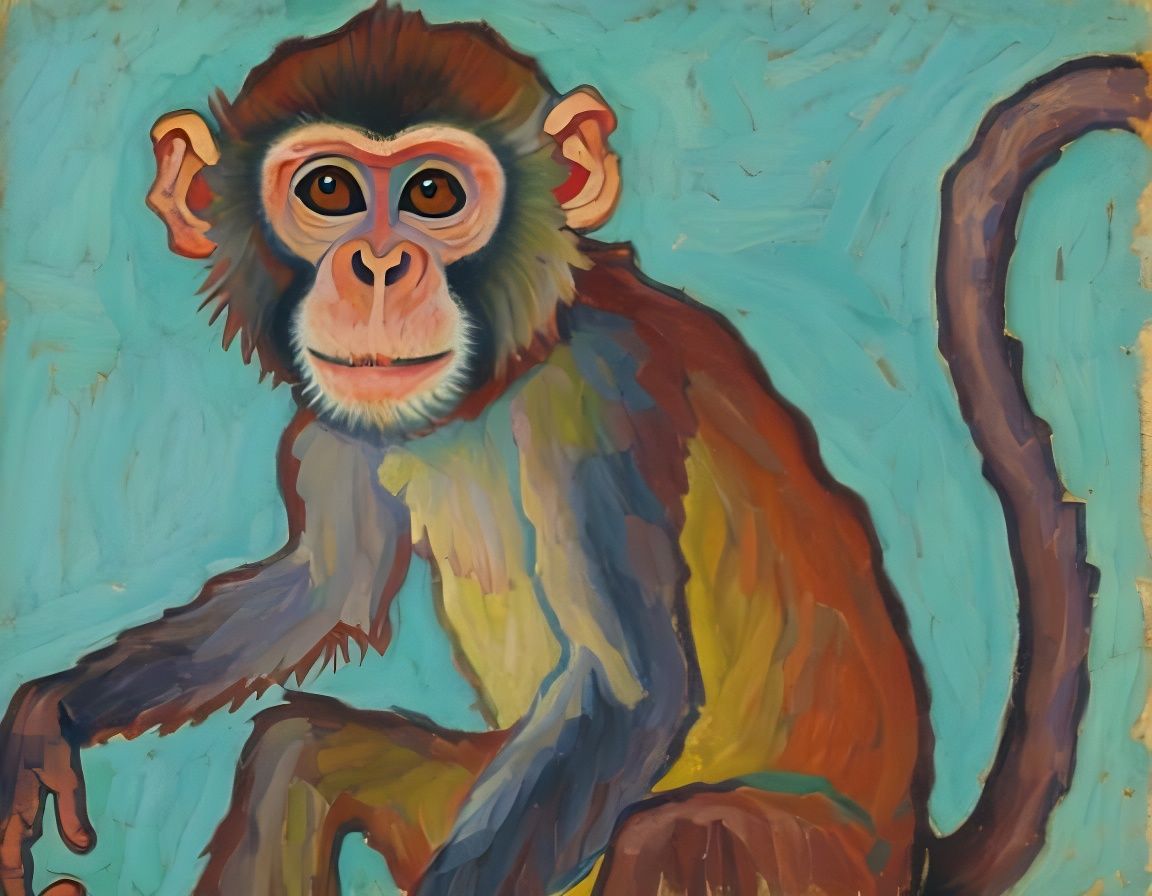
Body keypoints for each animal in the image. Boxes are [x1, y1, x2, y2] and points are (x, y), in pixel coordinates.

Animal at [0, 4, 1148, 895]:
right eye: (328, 192)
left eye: (432, 194)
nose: (377, 268)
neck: (495, 377)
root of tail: (910, 857)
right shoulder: (344, 407)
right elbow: (327, 588)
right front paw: (57, 710)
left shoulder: (599, 395)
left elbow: (631, 696)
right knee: (303, 752)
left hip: (803, 867)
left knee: (680, 833)